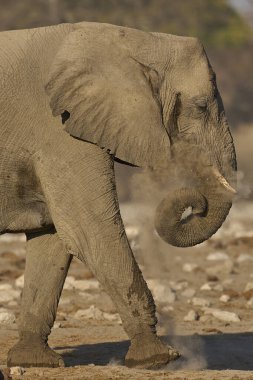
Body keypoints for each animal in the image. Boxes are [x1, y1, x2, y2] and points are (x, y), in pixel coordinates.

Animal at [0, 20, 237, 368]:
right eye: (201, 107)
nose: (197, 203)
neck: (134, 38)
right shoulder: (58, 131)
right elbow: (90, 231)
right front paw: (157, 358)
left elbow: (54, 237)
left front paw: (34, 361)